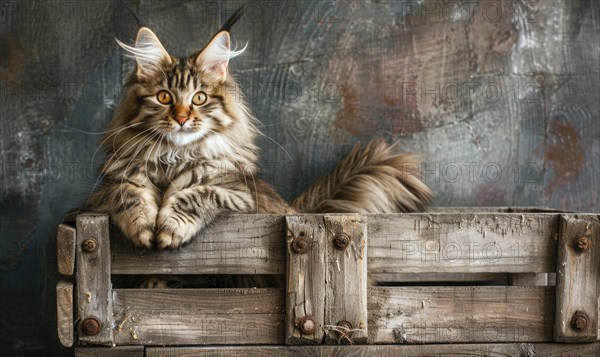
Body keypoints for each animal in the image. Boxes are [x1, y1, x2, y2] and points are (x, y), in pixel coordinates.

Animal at [85, 7, 432, 248]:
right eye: (164, 97)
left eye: (199, 98)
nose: (182, 118)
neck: (175, 159)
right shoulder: (102, 193)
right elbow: (130, 192)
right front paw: (143, 228)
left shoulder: (241, 196)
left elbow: (197, 193)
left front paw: (169, 228)